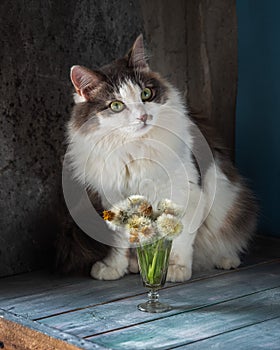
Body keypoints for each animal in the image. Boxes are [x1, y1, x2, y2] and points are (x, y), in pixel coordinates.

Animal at [64, 34, 258, 282]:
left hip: (225, 195)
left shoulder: (188, 193)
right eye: (116, 105)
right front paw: (113, 267)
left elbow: (180, 237)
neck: (135, 148)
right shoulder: (113, 200)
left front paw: (175, 268)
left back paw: (226, 260)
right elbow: (118, 241)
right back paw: (135, 265)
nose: (143, 116)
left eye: (146, 94)